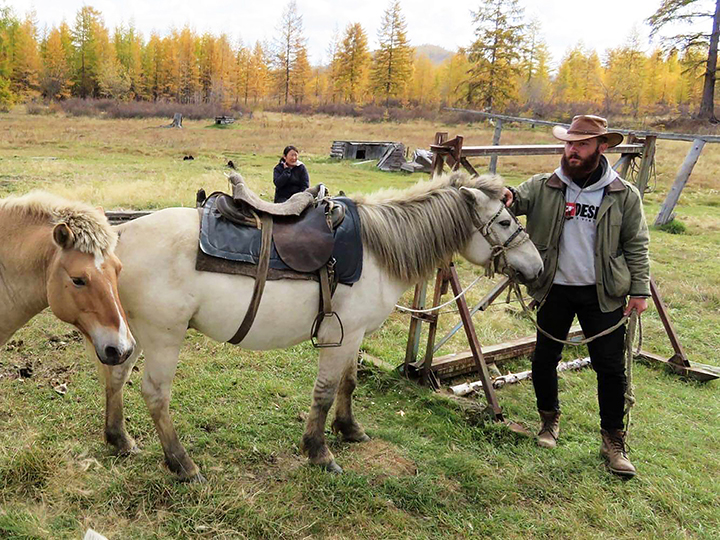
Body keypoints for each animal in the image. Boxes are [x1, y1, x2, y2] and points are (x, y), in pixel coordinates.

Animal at [97, 172, 544, 480]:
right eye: (505, 222)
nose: (537, 267)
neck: (376, 248)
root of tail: (121, 234)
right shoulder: (338, 335)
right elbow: (326, 391)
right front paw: (319, 452)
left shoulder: (355, 335)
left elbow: (349, 383)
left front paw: (349, 429)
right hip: (164, 338)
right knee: (155, 394)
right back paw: (182, 463)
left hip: (135, 332)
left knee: (116, 375)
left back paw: (120, 440)